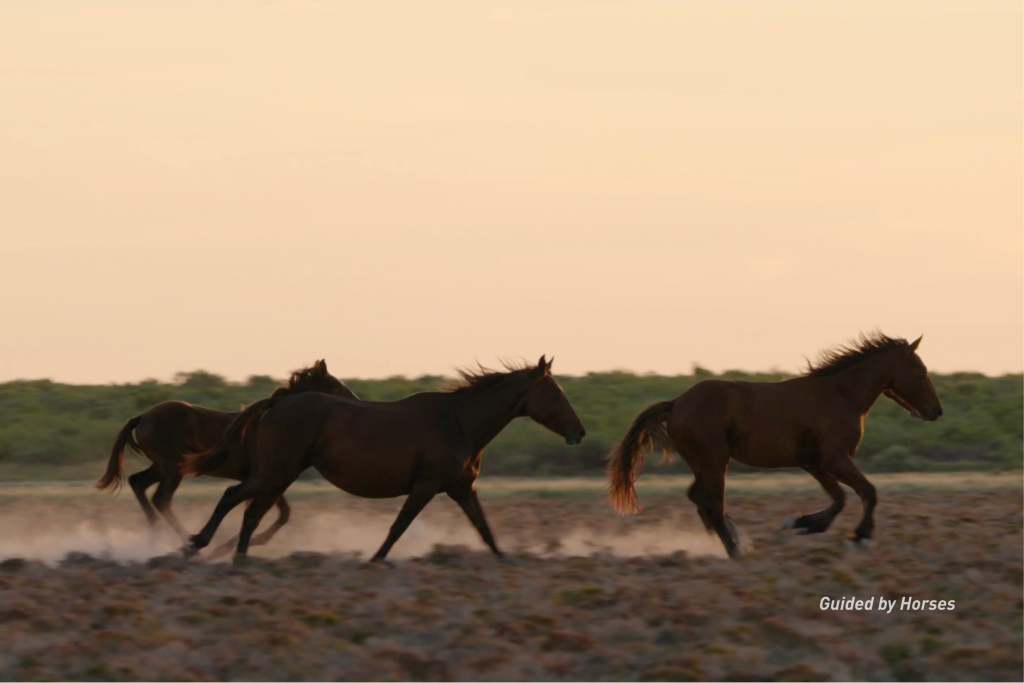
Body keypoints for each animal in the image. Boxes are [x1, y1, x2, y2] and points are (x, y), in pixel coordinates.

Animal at [95, 360, 357, 554]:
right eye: (336, 387)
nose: (355, 403)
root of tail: (142, 416)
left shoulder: (264, 477)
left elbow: (281, 513)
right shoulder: (266, 475)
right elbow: (274, 513)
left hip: (160, 467)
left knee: (138, 483)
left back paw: (156, 536)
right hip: (173, 468)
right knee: (161, 498)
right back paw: (187, 543)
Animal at [180, 355, 586, 564]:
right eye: (555, 392)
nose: (578, 432)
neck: (459, 422)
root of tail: (277, 402)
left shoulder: (461, 488)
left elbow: (484, 528)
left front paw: (505, 560)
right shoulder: (426, 486)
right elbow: (398, 527)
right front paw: (374, 560)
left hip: (279, 475)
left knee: (249, 511)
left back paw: (231, 556)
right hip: (277, 472)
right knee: (235, 501)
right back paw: (200, 546)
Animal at [607, 333, 943, 558]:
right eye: (921, 371)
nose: (936, 411)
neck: (840, 395)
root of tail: (676, 403)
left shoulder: (815, 464)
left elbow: (839, 499)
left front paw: (803, 523)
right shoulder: (834, 459)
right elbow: (868, 492)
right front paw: (860, 537)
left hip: (703, 464)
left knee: (699, 499)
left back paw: (734, 541)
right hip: (716, 462)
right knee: (713, 505)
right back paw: (736, 550)